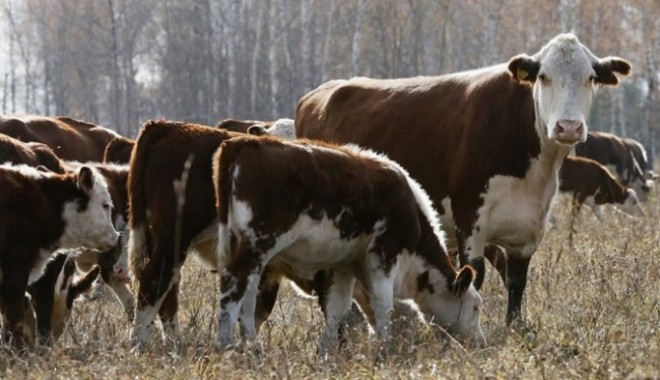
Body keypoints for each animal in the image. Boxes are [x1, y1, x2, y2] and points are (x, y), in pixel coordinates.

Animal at [214, 135, 482, 352]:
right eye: (476, 307)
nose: (480, 343)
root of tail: (242, 143)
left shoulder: (343, 265)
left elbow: (337, 310)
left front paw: (325, 351)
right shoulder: (383, 254)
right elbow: (383, 305)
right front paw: (386, 348)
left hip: (251, 253)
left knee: (248, 297)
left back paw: (252, 348)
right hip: (256, 245)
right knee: (232, 288)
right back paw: (224, 345)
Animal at [296, 32, 636, 326]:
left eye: (590, 78)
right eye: (543, 77)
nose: (568, 127)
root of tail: (317, 94)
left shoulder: (529, 225)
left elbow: (517, 279)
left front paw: (516, 327)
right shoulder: (469, 216)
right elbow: (476, 275)